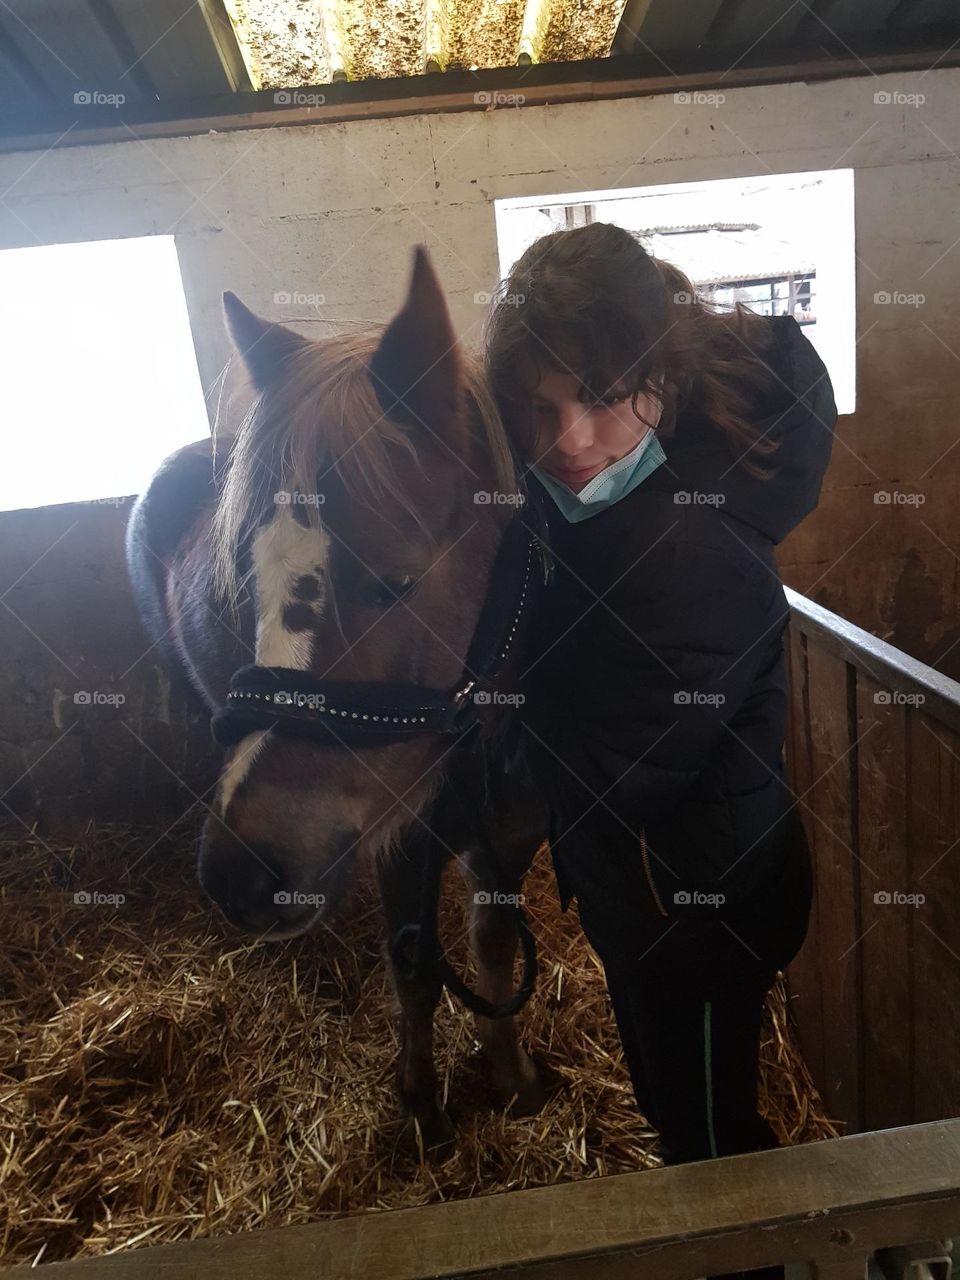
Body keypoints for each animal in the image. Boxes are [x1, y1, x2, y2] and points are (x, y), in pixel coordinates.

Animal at [125, 247, 552, 1153]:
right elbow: (415, 965)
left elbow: (492, 948)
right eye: (246, 581)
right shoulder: (402, 841)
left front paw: (511, 1076)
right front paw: (422, 1103)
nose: (238, 875)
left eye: (395, 582)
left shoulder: (509, 833)